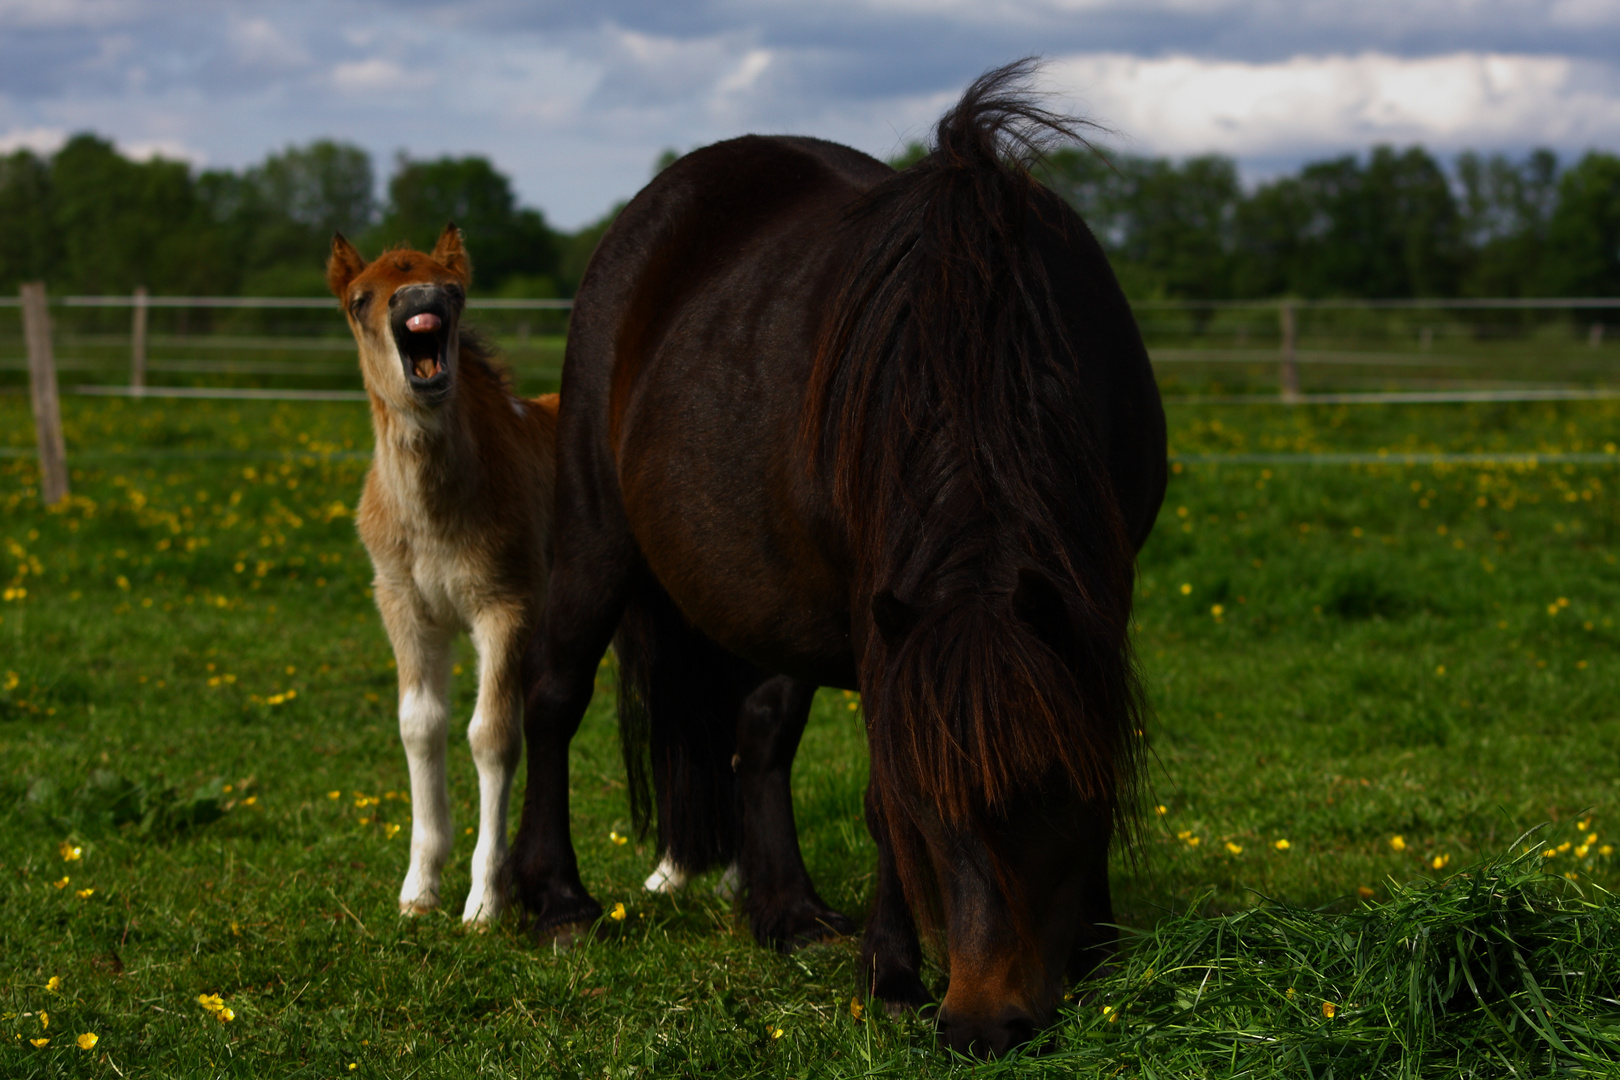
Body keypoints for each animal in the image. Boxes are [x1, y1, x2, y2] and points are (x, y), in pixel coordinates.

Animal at [325, 228, 560, 932]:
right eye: (360, 300)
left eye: (453, 292)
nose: (419, 300)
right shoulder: (405, 608)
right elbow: (420, 724)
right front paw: (419, 890)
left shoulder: (508, 607)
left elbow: (492, 735)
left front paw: (484, 901)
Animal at [511, 63, 1159, 1062]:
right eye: (931, 809)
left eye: (1048, 791)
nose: (982, 1024)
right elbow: (876, 796)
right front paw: (890, 977)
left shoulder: (1097, 586)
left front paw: (1096, 945)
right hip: (598, 531)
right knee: (552, 694)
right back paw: (556, 902)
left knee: (760, 732)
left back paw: (790, 912)